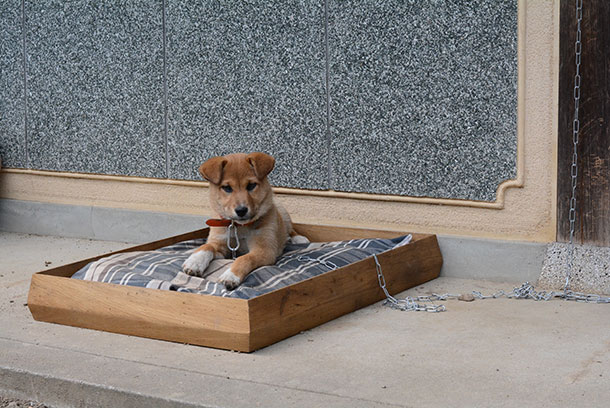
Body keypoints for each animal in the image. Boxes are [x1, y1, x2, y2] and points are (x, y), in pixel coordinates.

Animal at [179, 153, 304, 290]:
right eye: (227, 188)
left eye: (251, 186)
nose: (241, 210)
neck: (239, 227)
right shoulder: (222, 246)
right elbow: (207, 246)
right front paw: (194, 262)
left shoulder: (264, 249)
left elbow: (245, 258)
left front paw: (231, 275)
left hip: (282, 212)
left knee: (290, 228)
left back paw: (299, 238)